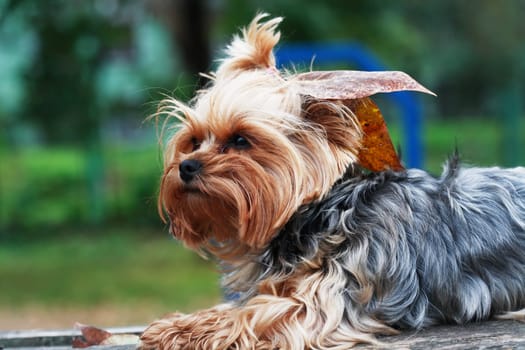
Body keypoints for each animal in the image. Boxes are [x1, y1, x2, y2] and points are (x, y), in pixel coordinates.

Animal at [139, 14, 524, 350]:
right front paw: (181, 323)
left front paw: (187, 329)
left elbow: (253, 314)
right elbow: (242, 304)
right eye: (193, 141)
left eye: (240, 139)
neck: (320, 212)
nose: (186, 166)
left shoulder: (330, 300)